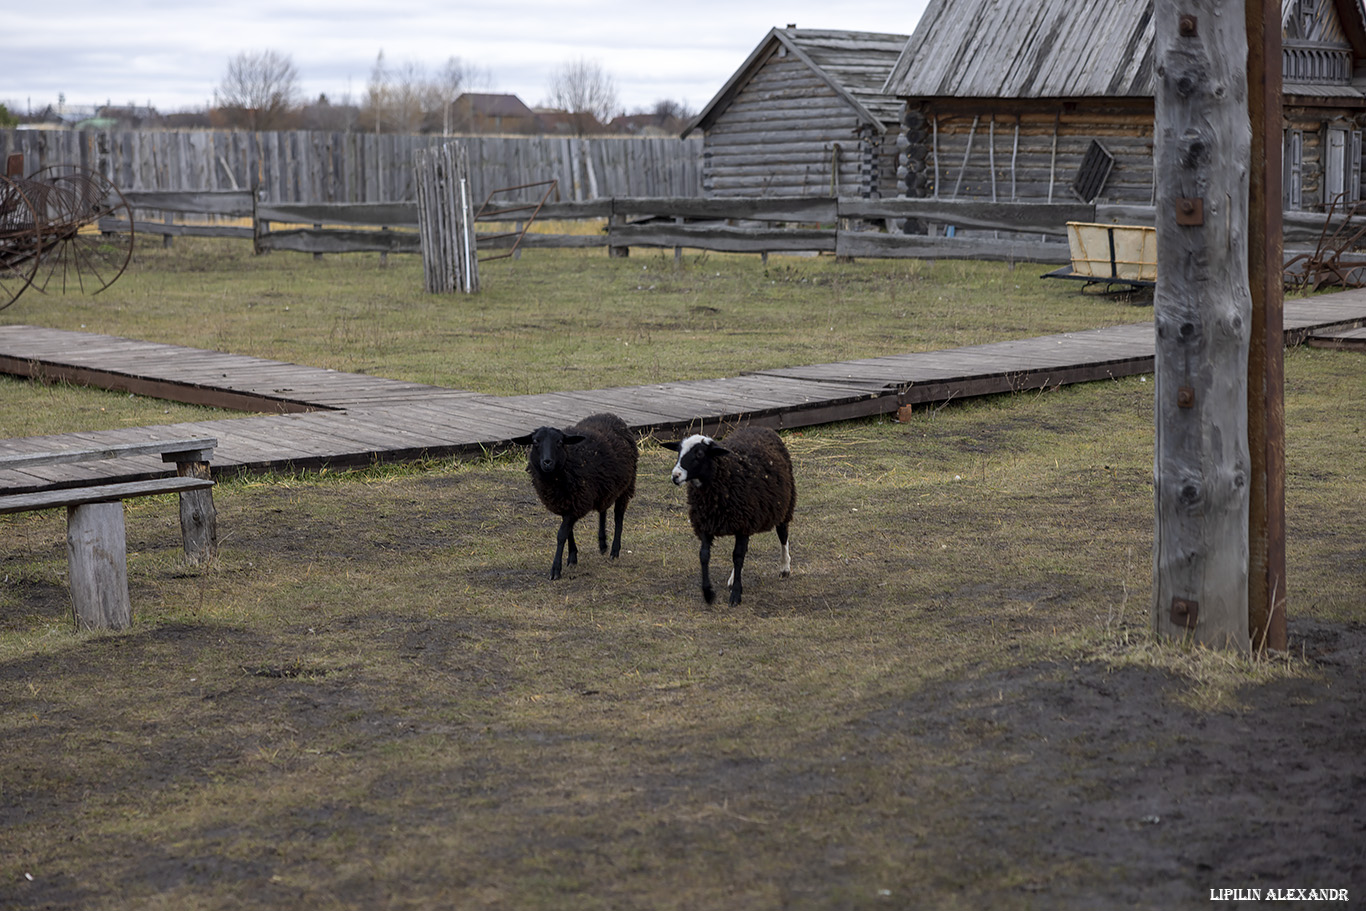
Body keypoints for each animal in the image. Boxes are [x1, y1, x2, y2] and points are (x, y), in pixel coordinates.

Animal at [513, 412, 639, 576]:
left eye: (560, 442)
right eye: (535, 442)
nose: (547, 462)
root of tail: (611, 415)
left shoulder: (575, 503)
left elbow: (562, 534)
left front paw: (556, 569)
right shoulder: (566, 503)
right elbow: (569, 532)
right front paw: (572, 558)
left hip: (627, 485)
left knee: (618, 517)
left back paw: (614, 550)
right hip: (603, 486)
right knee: (603, 509)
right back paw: (602, 542)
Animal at [658, 426, 792, 606]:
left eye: (699, 454)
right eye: (679, 451)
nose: (675, 476)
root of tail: (761, 428)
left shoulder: (743, 524)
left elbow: (737, 556)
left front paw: (736, 595)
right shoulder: (706, 523)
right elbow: (704, 555)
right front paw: (708, 592)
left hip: (784, 504)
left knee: (783, 535)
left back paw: (785, 567)